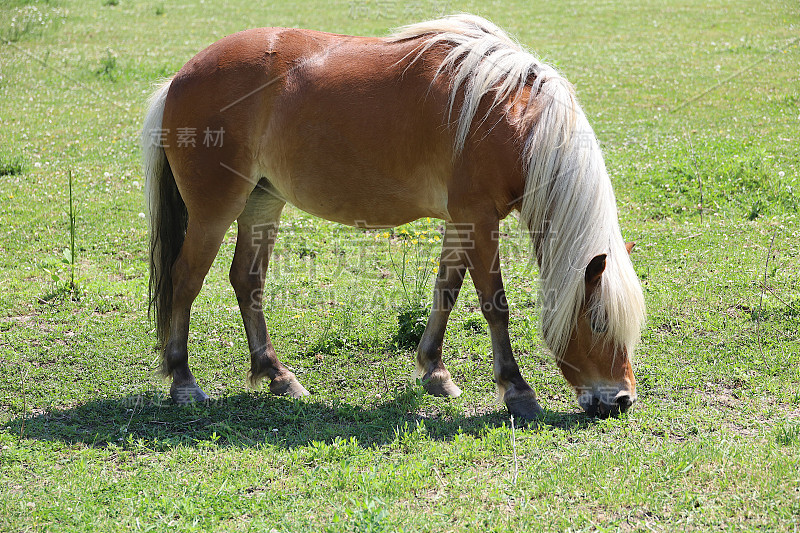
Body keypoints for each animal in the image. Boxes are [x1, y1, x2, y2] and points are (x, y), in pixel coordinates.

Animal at [142, 14, 644, 418]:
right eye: (599, 322)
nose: (620, 400)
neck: (507, 115)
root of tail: (180, 76)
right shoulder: (479, 218)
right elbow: (494, 303)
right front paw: (517, 390)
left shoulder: (461, 221)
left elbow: (447, 291)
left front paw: (435, 371)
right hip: (214, 211)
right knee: (185, 280)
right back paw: (184, 383)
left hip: (262, 202)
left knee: (246, 280)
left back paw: (276, 375)